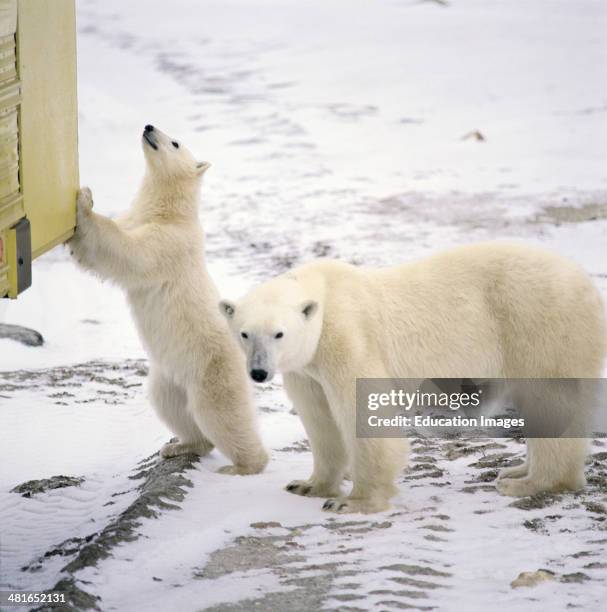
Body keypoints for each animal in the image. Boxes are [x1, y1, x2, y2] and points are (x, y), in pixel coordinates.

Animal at [70, 124, 268, 476]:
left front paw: (85, 202)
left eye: (174, 142)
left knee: (223, 416)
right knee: (172, 406)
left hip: (211, 371)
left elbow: (125, 251)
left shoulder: (168, 242)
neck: (167, 211)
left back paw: (243, 466)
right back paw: (178, 446)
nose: (148, 126)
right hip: (170, 376)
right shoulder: (137, 219)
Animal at [221, 244, 604, 512]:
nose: (259, 372)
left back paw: (530, 482)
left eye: (279, 334)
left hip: (539, 325)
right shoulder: (307, 368)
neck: (326, 296)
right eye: (244, 333)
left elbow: (365, 414)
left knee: (550, 403)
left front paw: (354, 501)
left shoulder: (349, 338)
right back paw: (516, 471)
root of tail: (586, 283)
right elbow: (321, 421)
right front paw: (309, 485)